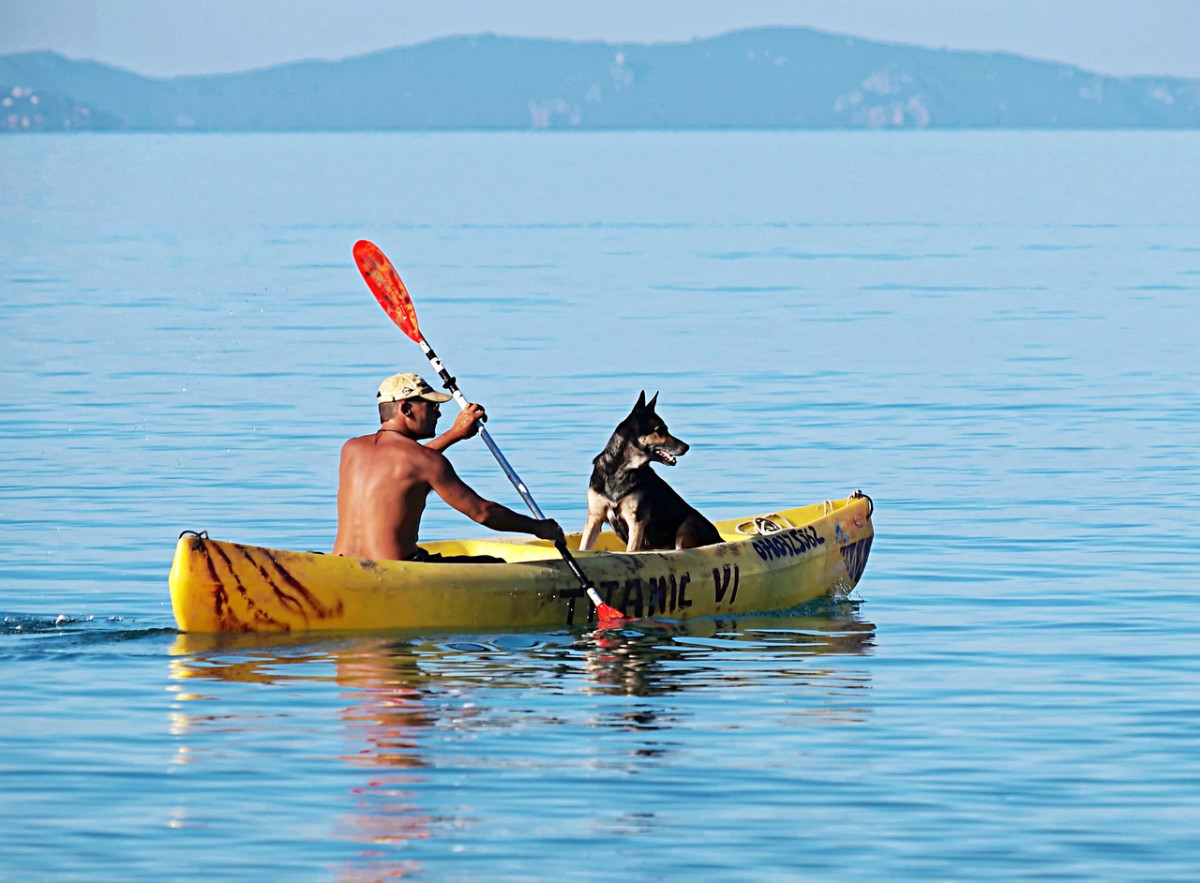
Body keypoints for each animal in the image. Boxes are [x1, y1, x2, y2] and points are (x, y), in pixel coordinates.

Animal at [578, 393, 720, 551]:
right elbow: (583, 547)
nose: (687, 447)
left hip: (687, 525)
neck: (620, 471)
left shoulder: (636, 521)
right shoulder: (594, 519)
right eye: (660, 430)